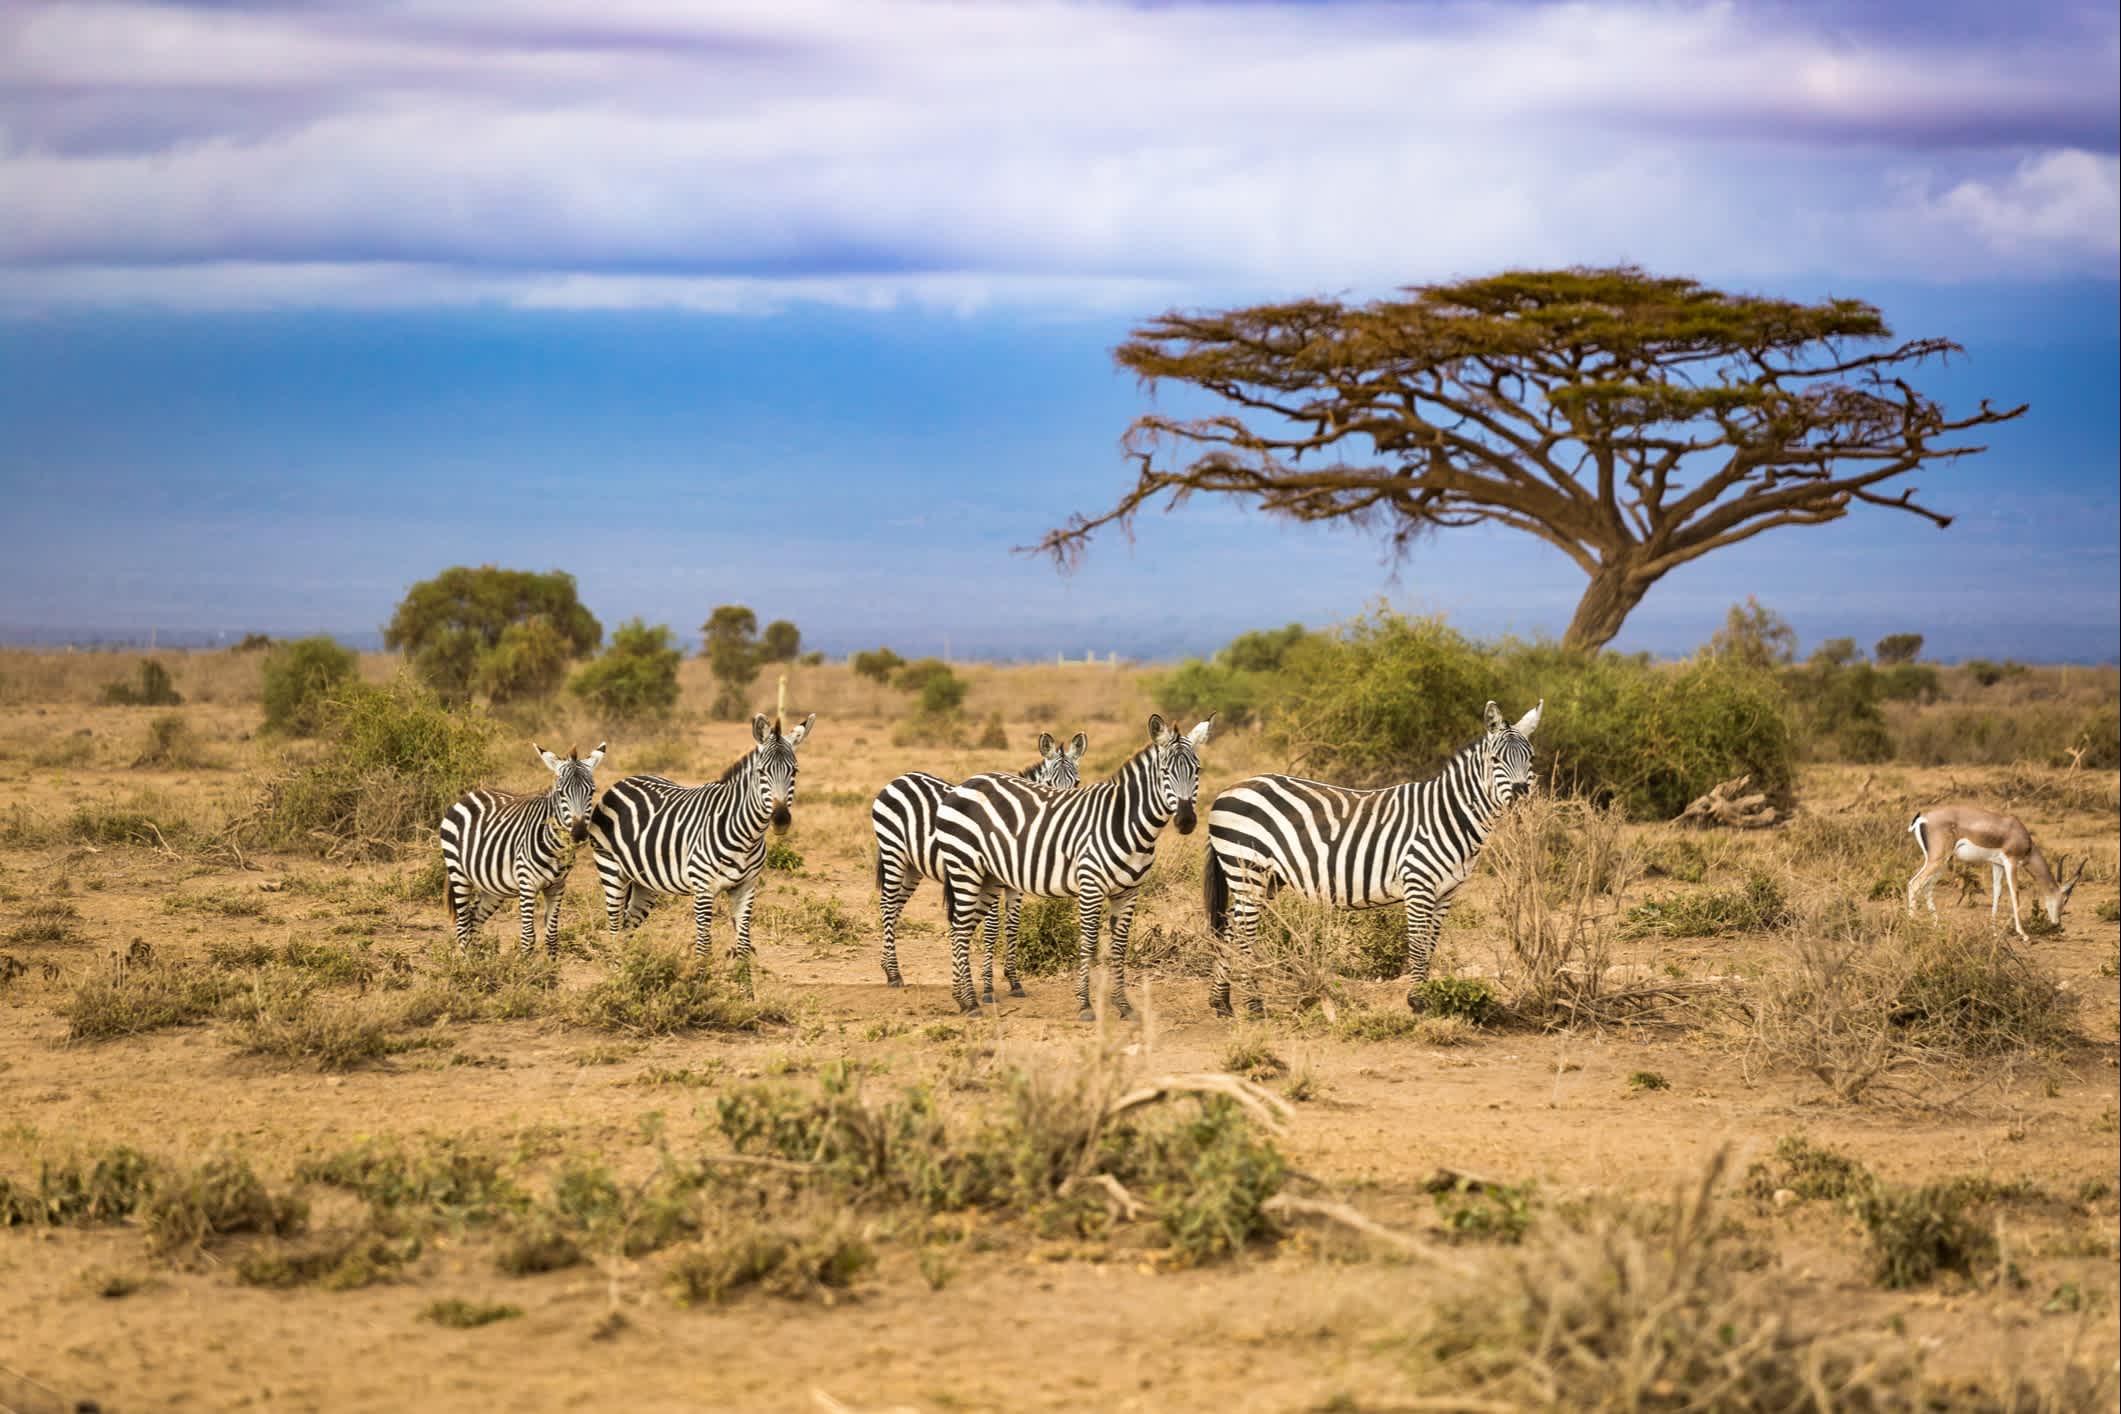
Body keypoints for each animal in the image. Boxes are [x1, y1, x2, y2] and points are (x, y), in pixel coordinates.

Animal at [439, 741, 606, 962]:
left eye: (592, 792)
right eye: (561, 792)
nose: (578, 833)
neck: (555, 848)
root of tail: (472, 794)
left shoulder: (557, 886)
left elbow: (552, 936)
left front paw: (551, 969)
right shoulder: (527, 884)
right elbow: (528, 936)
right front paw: (525, 968)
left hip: (492, 885)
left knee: (474, 919)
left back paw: (478, 961)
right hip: (458, 873)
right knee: (462, 923)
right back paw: (466, 963)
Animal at [585, 712, 814, 979]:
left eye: (794, 771)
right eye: (761, 772)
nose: (781, 819)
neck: (748, 835)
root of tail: (623, 781)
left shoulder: (746, 887)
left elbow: (744, 947)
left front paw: (746, 990)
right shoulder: (703, 889)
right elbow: (704, 948)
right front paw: (700, 986)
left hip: (645, 883)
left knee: (626, 926)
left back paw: (629, 976)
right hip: (611, 870)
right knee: (614, 927)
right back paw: (617, 978)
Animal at [869, 737, 1085, 1000]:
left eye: (1077, 782)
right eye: (1051, 783)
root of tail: (900, 778)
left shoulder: (1015, 885)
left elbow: (1013, 927)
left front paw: (1014, 981)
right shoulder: (991, 878)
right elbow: (992, 929)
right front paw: (988, 987)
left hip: (913, 866)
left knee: (896, 907)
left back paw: (887, 966)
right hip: (893, 852)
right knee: (887, 905)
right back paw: (893, 974)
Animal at [941, 720, 1221, 1017]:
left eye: (1197, 770)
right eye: (1165, 771)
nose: (1186, 821)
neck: (1125, 822)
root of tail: (968, 782)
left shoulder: (1129, 892)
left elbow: (1119, 947)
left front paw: (1123, 1005)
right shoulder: (1091, 887)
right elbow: (1088, 942)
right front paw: (1085, 1003)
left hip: (988, 878)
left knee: (961, 929)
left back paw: (962, 998)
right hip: (965, 868)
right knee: (961, 928)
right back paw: (971, 1001)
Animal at [1204, 699, 1535, 1013]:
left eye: (1530, 759)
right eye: (1495, 760)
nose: (1521, 794)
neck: (1448, 815)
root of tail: (1228, 790)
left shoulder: (1447, 892)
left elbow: (1430, 946)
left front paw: (1429, 997)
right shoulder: (1418, 885)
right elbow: (1418, 946)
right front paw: (1418, 1001)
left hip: (1266, 879)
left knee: (1230, 930)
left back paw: (1222, 1002)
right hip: (1248, 870)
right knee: (1243, 936)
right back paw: (1254, 1004)